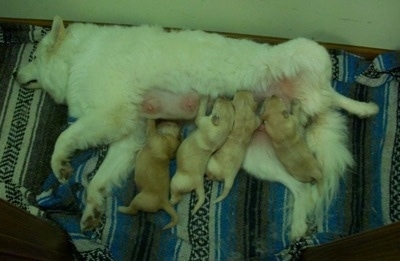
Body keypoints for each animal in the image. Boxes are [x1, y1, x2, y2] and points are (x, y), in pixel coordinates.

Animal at [16, 15, 378, 237]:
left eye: (33, 57)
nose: (17, 74)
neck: (80, 55)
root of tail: (305, 103)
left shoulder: (111, 114)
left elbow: (65, 137)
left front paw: (60, 165)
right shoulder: (129, 137)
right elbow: (98, 181)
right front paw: (91, 210)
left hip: (307, 52)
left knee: (332, 94)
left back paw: (365, 108)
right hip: (257, 157)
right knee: (300, 186)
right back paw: (298, 227)